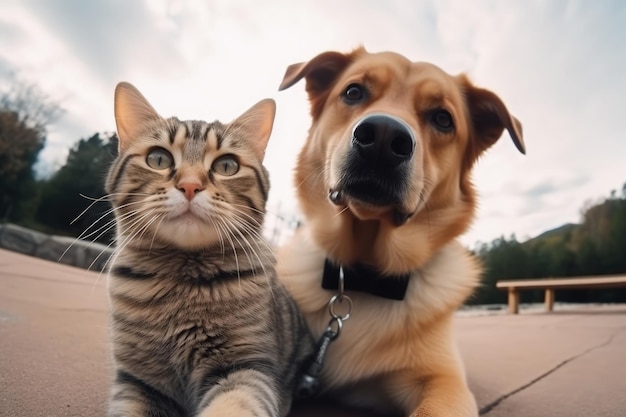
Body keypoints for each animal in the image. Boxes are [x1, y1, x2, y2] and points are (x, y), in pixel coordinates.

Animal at [105, 82, 316, 416]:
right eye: (158, 159)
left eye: (227, 165)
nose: (190, 186)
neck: (181, 282)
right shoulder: (138, 380)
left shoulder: (246, 365)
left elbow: (235, 405)